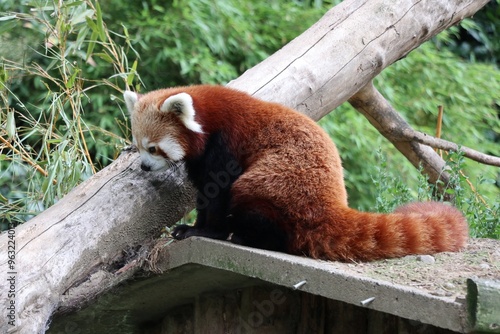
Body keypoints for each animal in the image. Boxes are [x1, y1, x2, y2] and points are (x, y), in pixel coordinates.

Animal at [125, 85, 468, 262]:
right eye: (137, 146)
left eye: (153, 148)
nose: (144, 167)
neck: (209, 116)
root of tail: (332, 208)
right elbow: (203, 194)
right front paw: (192, 225)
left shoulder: (226, 145)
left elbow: (219, 192)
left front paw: (206, 232)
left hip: (276, 186)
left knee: (254, 201)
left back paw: (246, 234)